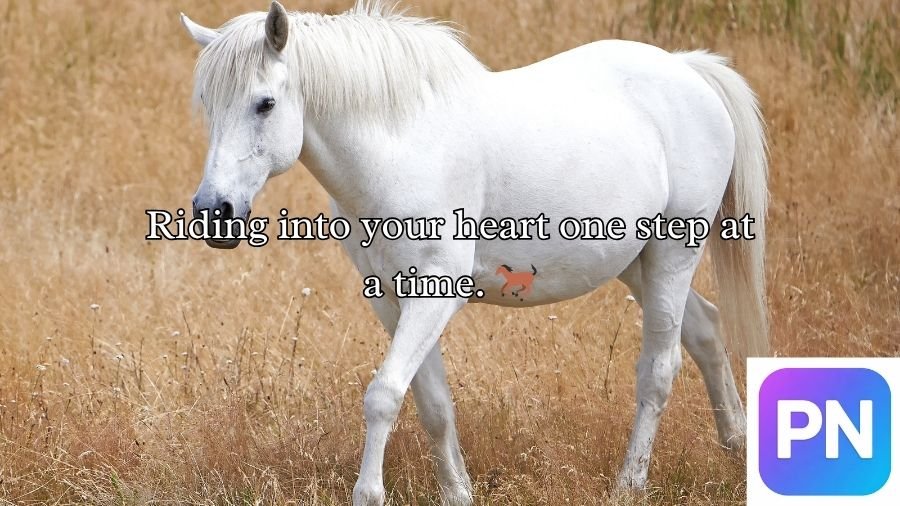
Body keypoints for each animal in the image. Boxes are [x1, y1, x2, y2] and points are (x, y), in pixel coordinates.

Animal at [180, 2, 768, 504]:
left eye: (265, 103)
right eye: (207, 104)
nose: (214, 211)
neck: (401, 150)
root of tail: (688, 70)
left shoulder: (434, 293)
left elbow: (384, 394)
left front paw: (368, 494)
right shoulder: (391, 298)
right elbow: (432, 403)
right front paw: (457, 492)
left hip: (672, 254)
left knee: (659, 369)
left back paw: (630, 483)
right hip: (637, 264)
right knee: (706, 331)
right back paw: (735, 443)